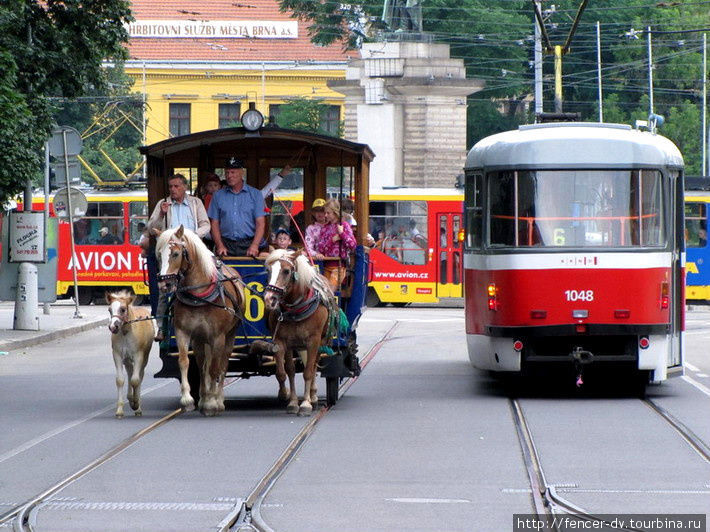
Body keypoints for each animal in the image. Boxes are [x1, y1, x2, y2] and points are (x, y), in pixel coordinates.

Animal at [105, 288, 156, 418]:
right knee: (129, 372)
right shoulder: (117, 355)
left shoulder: (139, 356)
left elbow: (135, 380)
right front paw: (119, 411)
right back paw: (130, 397)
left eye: (123, 309)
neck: (125, 332)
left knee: (139, 375)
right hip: (127, 359)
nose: (113, 327)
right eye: (109, 309)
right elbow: (120, 380)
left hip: (144, 358)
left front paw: (136, 404)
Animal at [154, 224, 246, 416]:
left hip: (229, 334)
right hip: (200, 339)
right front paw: (188, 399)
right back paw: (204, 397)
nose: (164, 285)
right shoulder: (183, 332)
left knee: (222, 363)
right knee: (203, 364)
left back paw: (217, 398)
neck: (199, 295)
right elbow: (185, 362)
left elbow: (216, 367)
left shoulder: (218, 336)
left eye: (176, 253)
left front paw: (213, 402)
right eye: (158, 254)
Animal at [264, 249, 336, 416]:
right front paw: (292, 401)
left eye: (286, 271)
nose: (269, 299)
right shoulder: (282, 342)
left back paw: (313, 396)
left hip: (321, 342)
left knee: (314, 365)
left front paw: (306, 404)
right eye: (269, 270)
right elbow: (286, 372)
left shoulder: (313, 341)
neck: (295, 310)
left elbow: (308, 371)